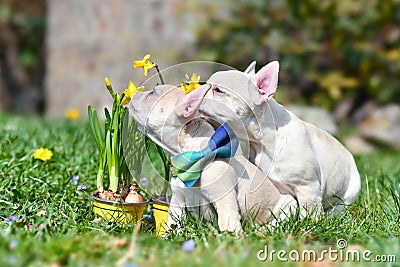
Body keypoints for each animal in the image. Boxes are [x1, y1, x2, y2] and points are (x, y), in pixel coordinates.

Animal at [128, 86, 296, 234]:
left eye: (153, 93)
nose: (135, 93)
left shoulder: (223, 196)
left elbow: (227, 220)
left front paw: (229, 237)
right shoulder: (178, 200)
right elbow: (172, 222)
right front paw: (167, 237)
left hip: (289, 208)